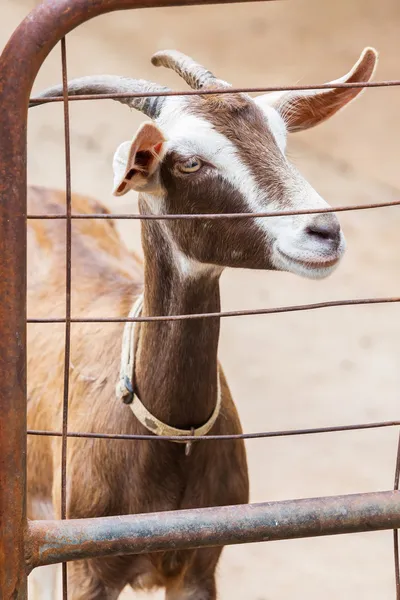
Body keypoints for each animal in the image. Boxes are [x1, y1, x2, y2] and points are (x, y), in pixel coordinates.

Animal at [28, 48, 378, 600]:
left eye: (280, 142)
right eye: (189, 161)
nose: (324, 231)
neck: (168, 433)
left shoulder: (200, 563)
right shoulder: (84, 568)